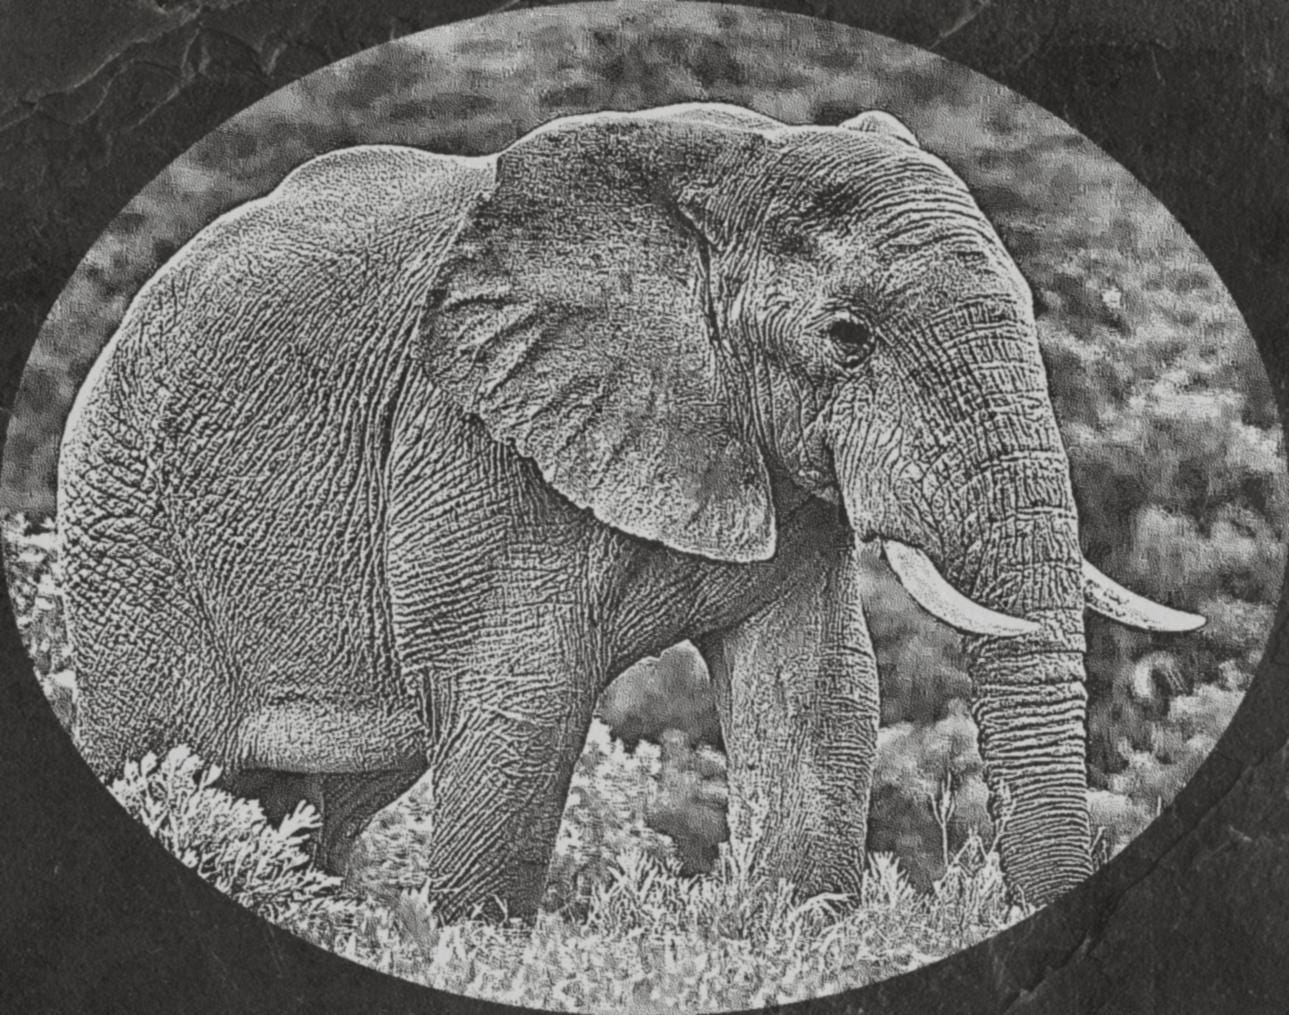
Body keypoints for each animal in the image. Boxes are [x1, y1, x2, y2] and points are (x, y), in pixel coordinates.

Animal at [57, 100, 1203, 921]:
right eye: (846, 338)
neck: (726, 171)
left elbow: (818, 695)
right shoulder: (471, 439)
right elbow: (518, 704)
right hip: (127, 527)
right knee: (164, 756)